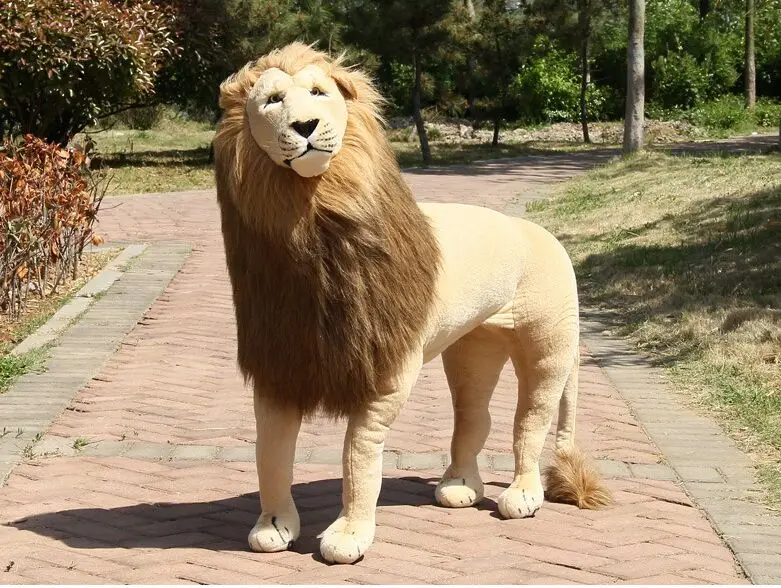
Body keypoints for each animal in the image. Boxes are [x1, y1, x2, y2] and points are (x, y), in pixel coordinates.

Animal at [213, 42, 612, 565]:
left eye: (319, 92)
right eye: (274, 100)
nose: (306, 126)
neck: (313, 216)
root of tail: (544, 234)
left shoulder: (385, 370)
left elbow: (359, 455)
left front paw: (350, 535)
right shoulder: (281, 364)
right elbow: (271, 453)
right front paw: (274, 525)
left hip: (547, 347)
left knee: (530, 423)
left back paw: (523, 495)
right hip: (473, 348)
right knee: (475, 416)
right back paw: (459, 486)